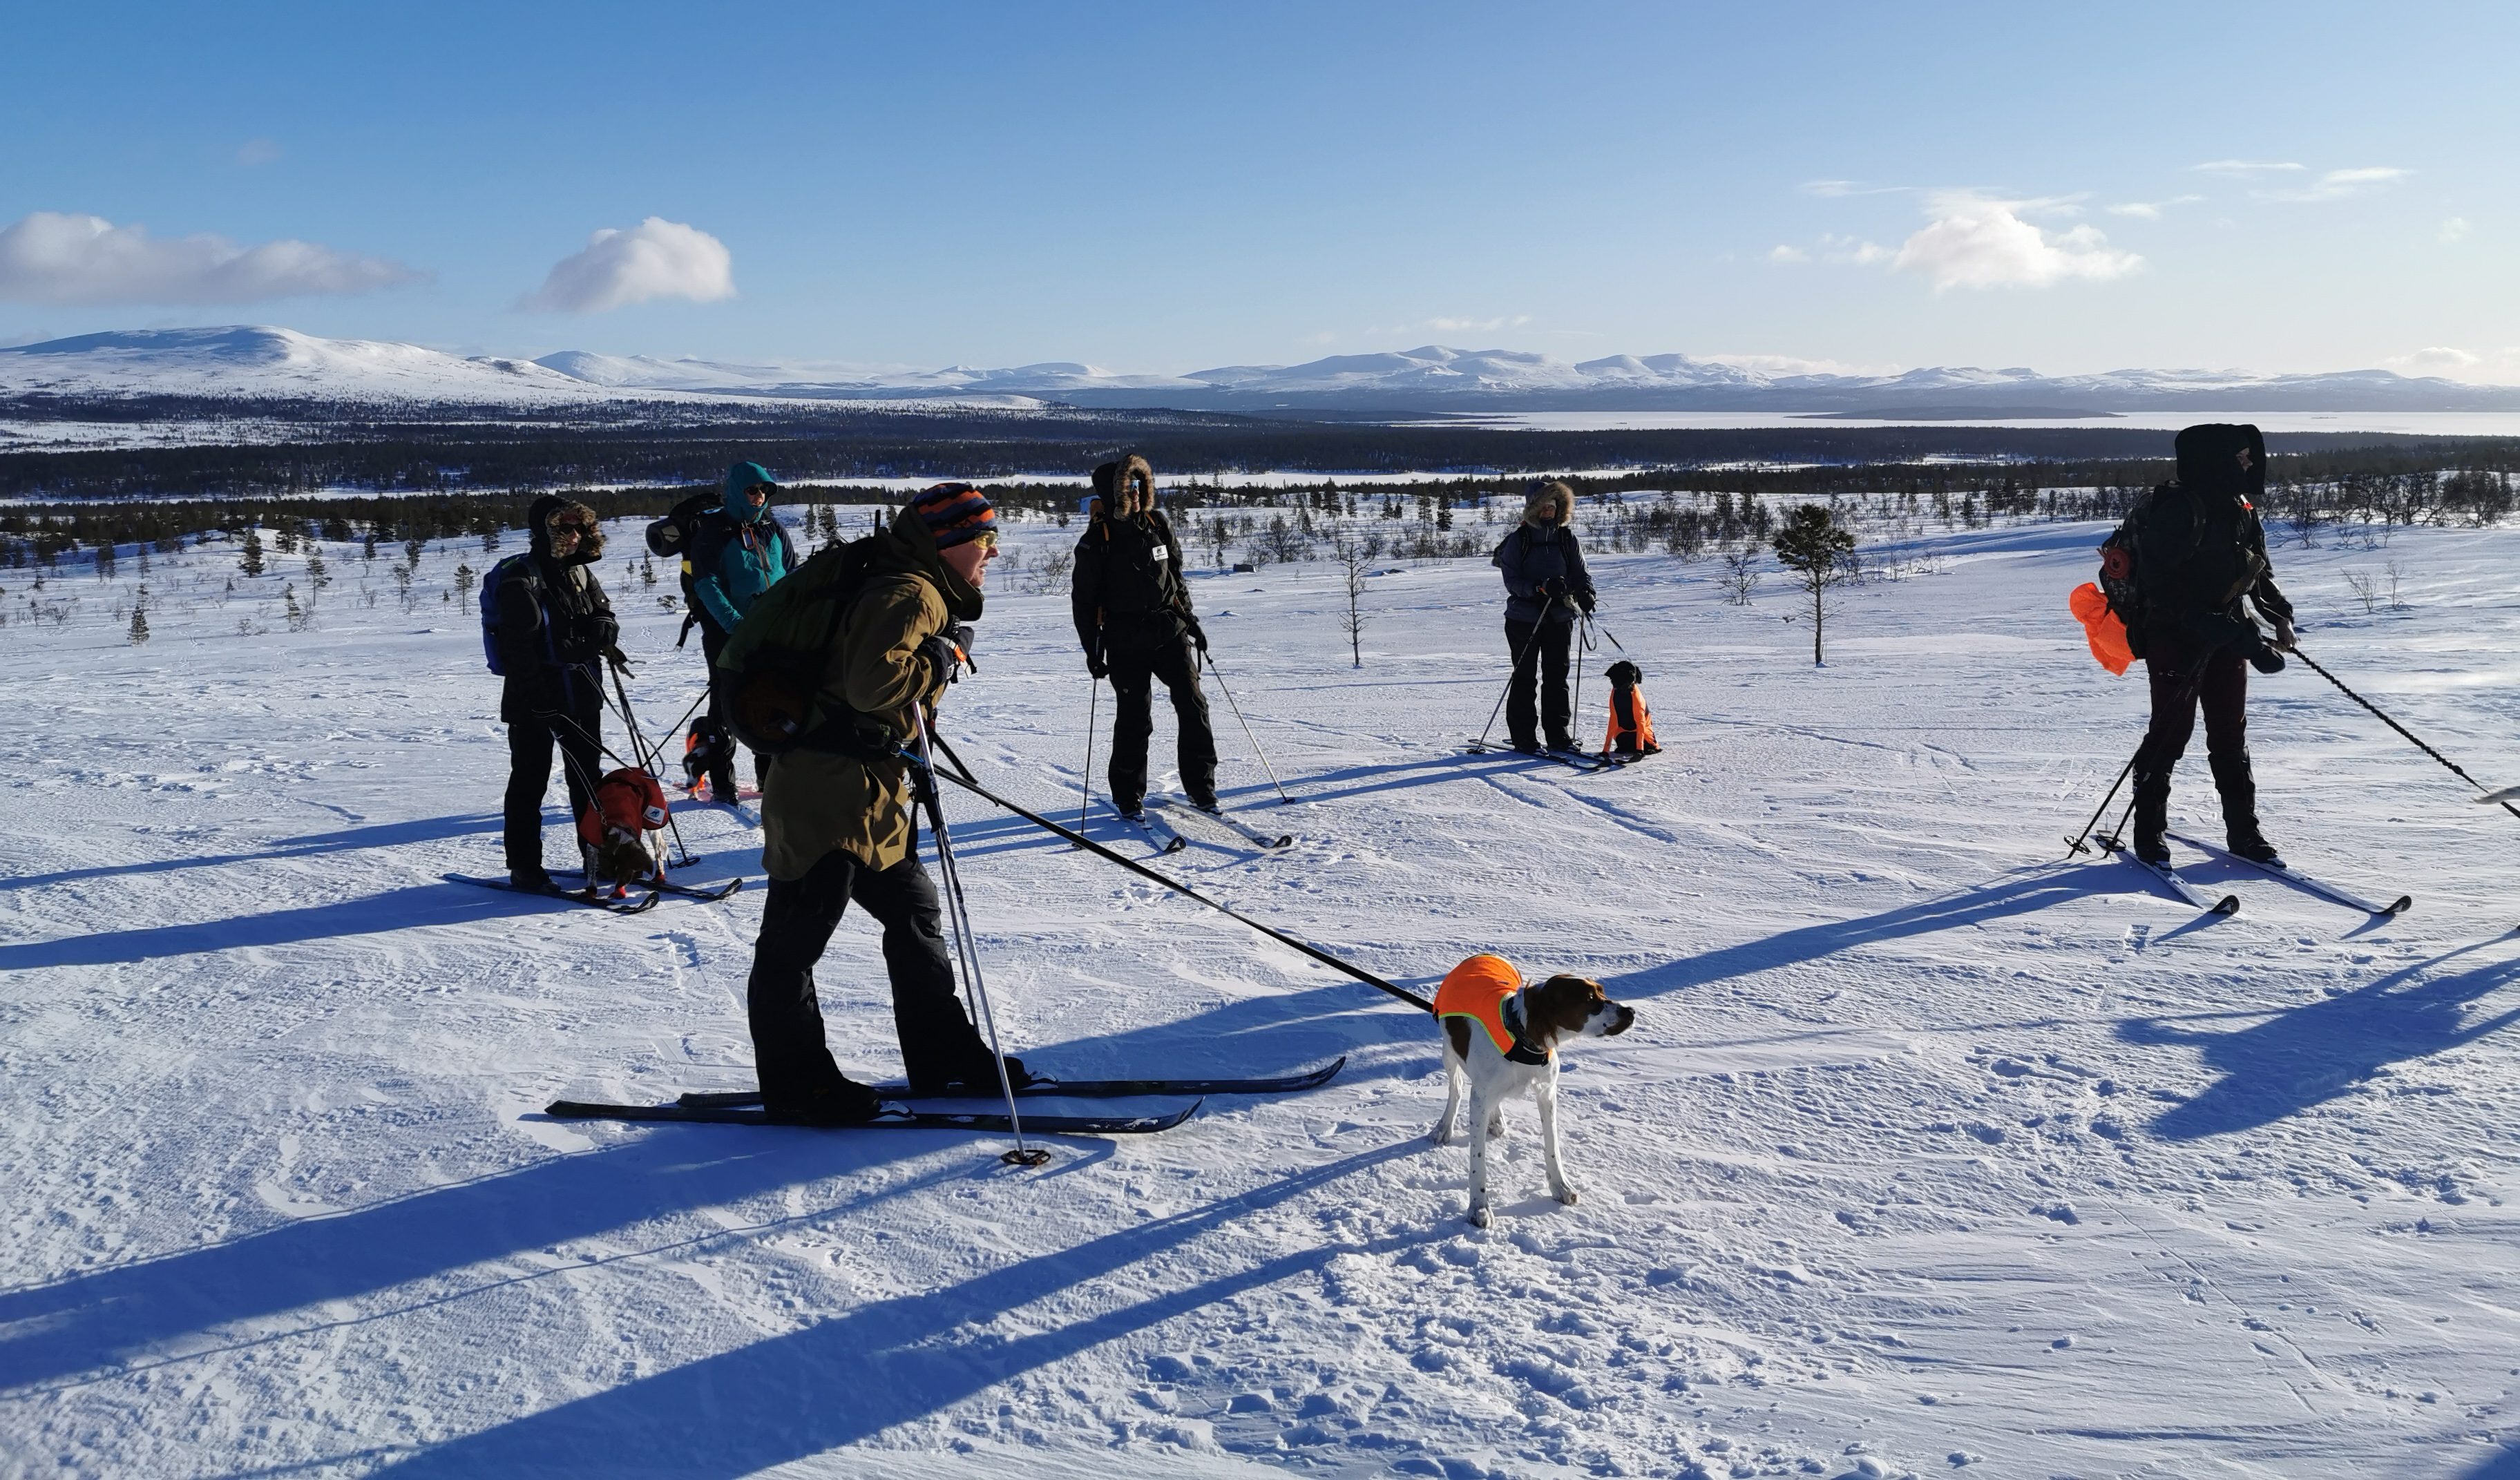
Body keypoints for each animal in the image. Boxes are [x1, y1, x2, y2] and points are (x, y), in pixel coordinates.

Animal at [1431, 963, 1643, 1225]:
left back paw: (1496, 1119)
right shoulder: (1479, 1098)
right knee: (1456, 1087)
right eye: (1590, 999)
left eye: (1602, 992)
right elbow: (1477, 1162)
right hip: (1449, 1051)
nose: (1631, 1012)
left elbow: (1553, 1147)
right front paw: (1479, 1207)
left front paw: (1560, 1187)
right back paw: (1444, 1127)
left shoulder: (1547, 1092)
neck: (1521, 1039)